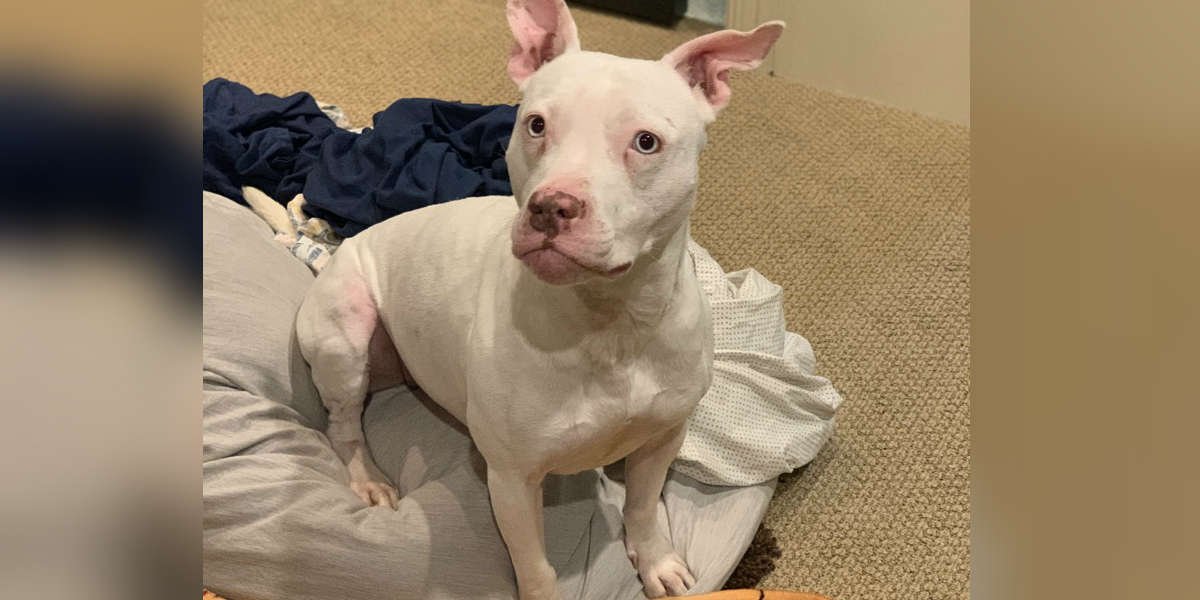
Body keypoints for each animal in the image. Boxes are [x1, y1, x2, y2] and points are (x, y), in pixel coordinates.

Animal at [298, 2, 782, 597]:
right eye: (536, 125)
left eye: (646, 142)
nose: (552, 206)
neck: (610, 322)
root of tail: (344, 247)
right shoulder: (511, 479)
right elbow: (536, 566)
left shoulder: (661, 438)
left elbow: (644, 507)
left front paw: (656, 561)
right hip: (345, 335)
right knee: (343, 424)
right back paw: (368, 478)